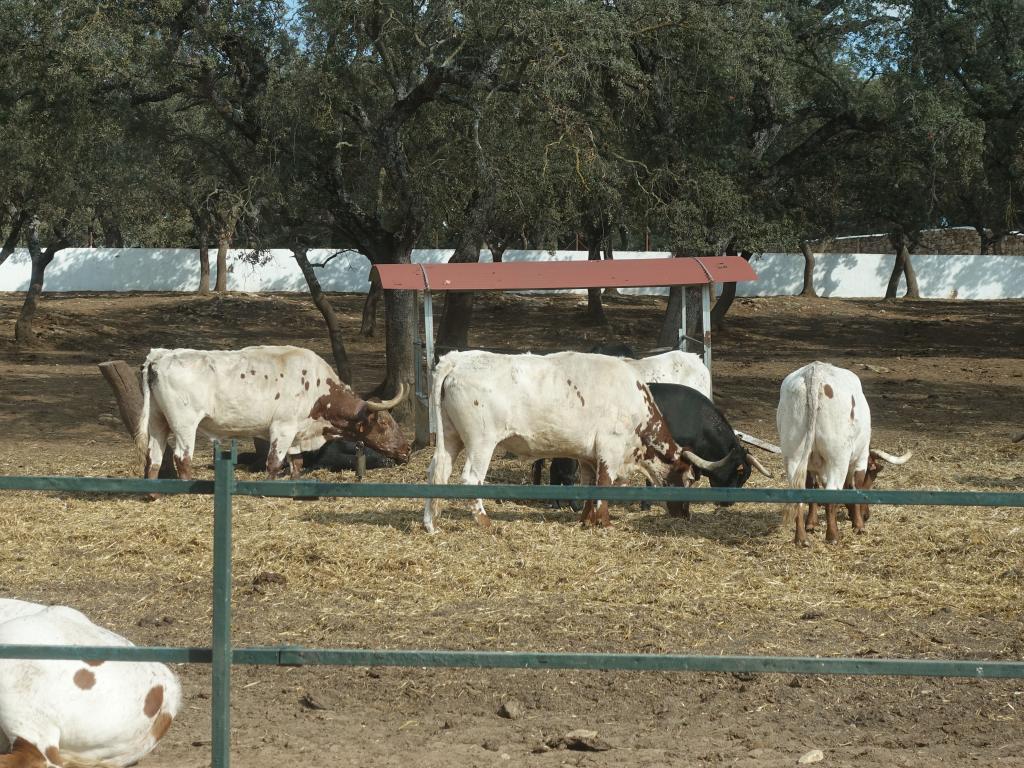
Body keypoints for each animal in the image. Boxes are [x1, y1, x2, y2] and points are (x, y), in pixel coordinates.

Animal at [134, 346, 409, 479]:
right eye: (384, 423)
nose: (406, 449)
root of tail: (160, 356)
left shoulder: (297, 433)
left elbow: (297, 464)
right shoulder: (282, 428)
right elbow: (275, 463)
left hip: (158, 421)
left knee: (154, 456)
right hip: (184, 424)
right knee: (182, 458)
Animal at [423, 350, 729, 536]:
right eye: (689, 480)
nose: (685, 516)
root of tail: (458, 358)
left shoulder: (588, 456)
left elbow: (590, 486)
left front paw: (587, 519)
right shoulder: (609, 450)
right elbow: (604, 486)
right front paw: (605, 522)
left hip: (451, 438)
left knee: (437, 472)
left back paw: (431, 523)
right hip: (481, 443)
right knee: (470, 478)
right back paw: (486, 522)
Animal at [774, 362, 913, 548]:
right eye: (873, 476)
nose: (867, 515)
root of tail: (815, 371)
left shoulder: (810, 467)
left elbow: (813, 488)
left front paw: (811, 523)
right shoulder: (860, 459)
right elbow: (854, 487)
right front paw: (858, 525)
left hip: (793, 455)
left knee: (798, 493)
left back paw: (802, 539)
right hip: (837, 459)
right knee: (832, 492)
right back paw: (833, 536)